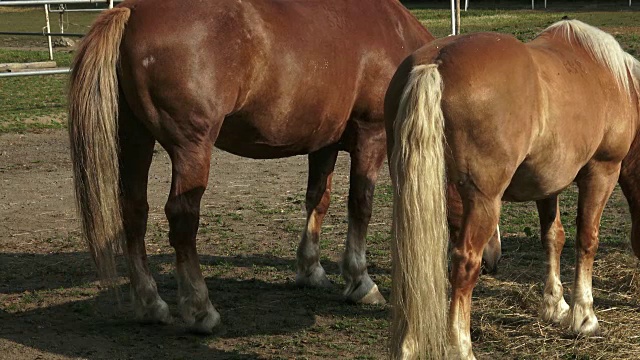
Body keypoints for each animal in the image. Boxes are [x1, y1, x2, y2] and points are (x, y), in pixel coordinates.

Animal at [66, 0, 436, 332]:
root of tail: (131, 11)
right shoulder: (371, 134)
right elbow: (360, 205)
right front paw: (361, 281)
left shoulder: (324, 144)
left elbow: (318, 200)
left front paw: (311, 269)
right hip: (190, 148)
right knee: (182, 219)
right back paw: (200, 309)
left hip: (134, 140)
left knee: (133, 212)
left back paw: (150, 304)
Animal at [384, 20, 640, 360]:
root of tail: (434, 63)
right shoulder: (602, 171)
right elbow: (587, 239)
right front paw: (584, 316)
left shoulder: (548, 183)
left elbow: (553, 237)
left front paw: (555, 305)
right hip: (483, 201)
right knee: (465, 264)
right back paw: (460, 346)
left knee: (412, 262)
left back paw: (409, 345)